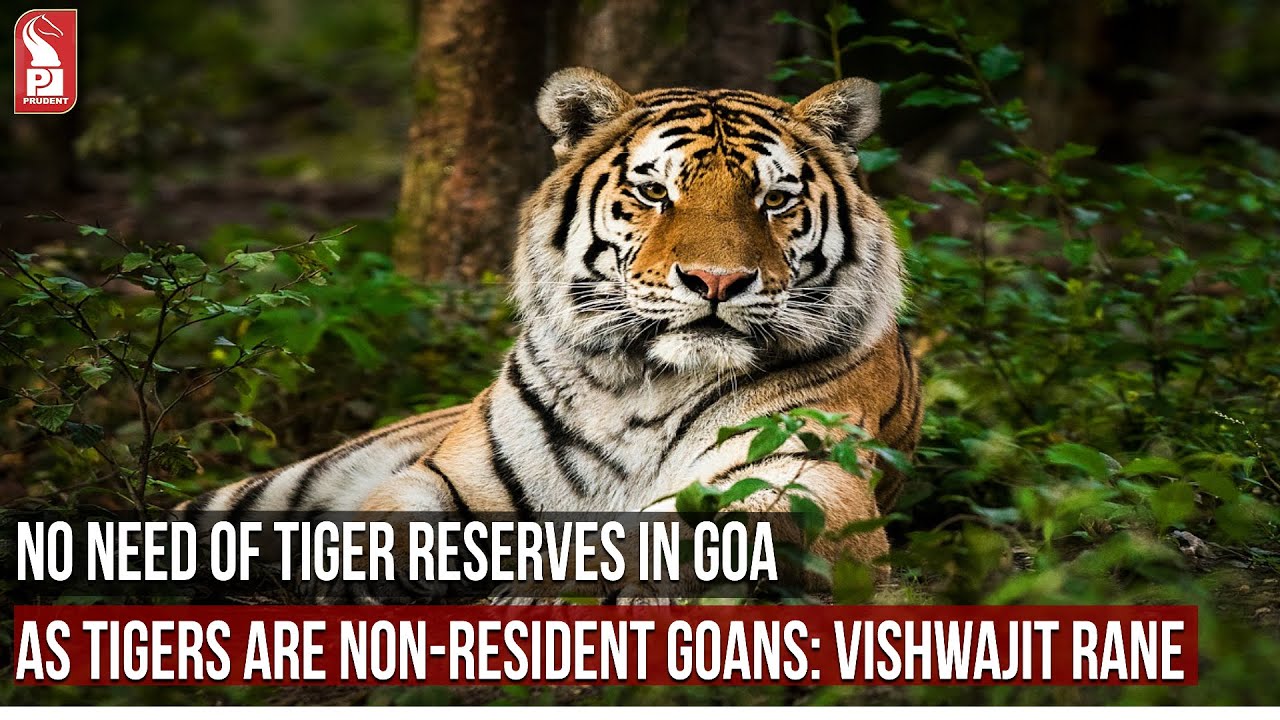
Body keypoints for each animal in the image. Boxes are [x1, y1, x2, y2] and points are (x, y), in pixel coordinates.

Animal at [181, 67, 922, 593]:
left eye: (775, 199)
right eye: (655, 193)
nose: (715, 281)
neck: (647, 385)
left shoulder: (807, 477)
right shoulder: (455, 477)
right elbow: (392, 520)